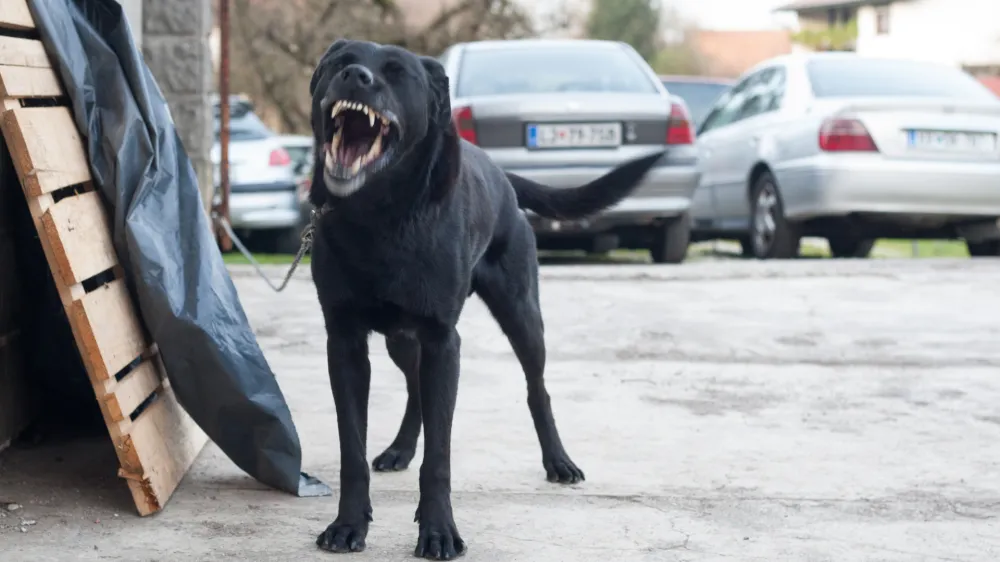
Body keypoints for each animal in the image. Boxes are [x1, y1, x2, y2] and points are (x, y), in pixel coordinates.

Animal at [304, 38, 664, 556]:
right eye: (339, 61)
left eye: (396, 72)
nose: (355, 77)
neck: (378, 217)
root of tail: (504, 176)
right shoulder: (346, 342)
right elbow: (351, 449)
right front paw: (349, 525)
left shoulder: (443, 341)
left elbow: (440, 456)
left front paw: (438, 531)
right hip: (400, 339)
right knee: (416, 388)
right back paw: (400, 450)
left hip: (522, 315)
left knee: (538, 388)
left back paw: (559, 461)